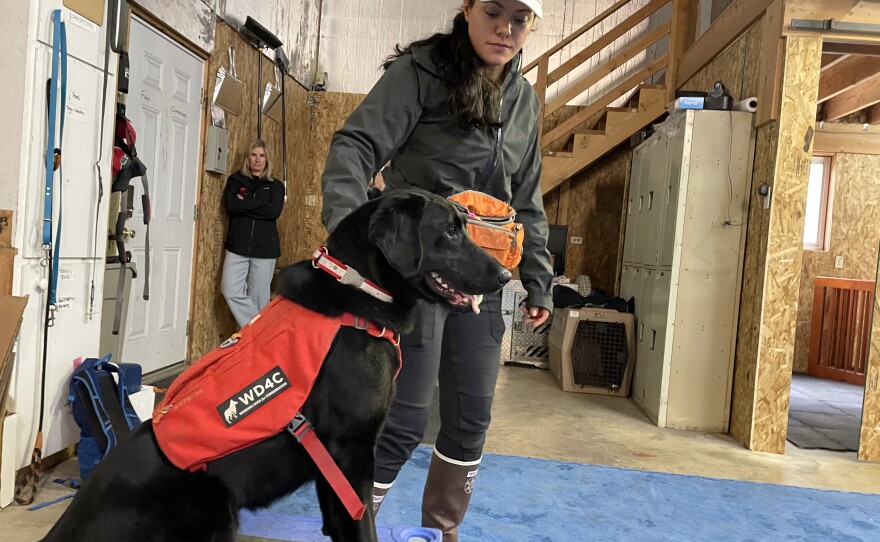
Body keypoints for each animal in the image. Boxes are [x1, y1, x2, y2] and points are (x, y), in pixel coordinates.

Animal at [41, 190, 508, 542]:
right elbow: (362, 524)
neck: (357, 292)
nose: (505, 276)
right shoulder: (350, 450)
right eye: (450, 231)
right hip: (213, 505)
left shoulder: (331, 468)